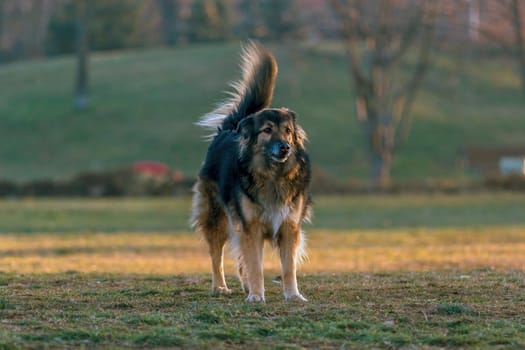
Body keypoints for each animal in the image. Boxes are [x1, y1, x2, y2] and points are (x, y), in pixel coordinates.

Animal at [189, 42, 310, 302]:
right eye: (267, 130)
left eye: (287, 131)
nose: (285, 147)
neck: (273, 175)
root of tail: (230, 128)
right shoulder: (251, 226)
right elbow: (255, 265)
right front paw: (256, 296)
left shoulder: (289, 226)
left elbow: (288, 267)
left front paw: (293, 295)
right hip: (216, 216)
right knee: (217, 255)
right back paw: (220, 286)